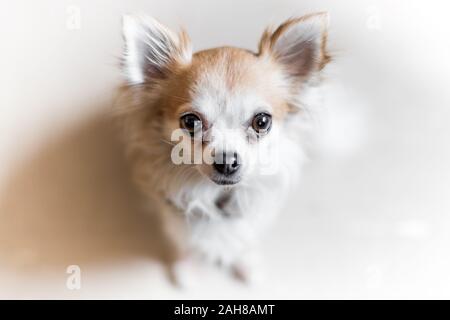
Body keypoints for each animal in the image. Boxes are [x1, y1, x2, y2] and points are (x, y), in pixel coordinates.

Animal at [115, 12, 330, 282]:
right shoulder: (174, 215)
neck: (218, 196)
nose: (227, 161)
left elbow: (245, 238)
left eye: (261, 122)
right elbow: (182, 240)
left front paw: (246, 262)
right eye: (191, 122)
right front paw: (185, 267)